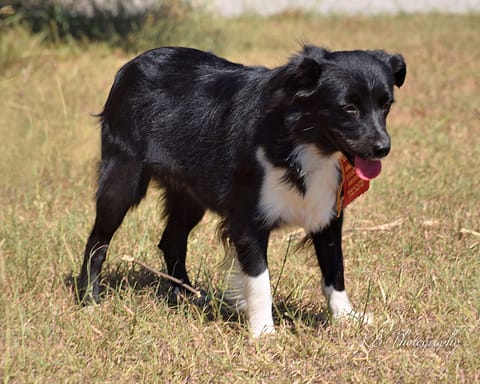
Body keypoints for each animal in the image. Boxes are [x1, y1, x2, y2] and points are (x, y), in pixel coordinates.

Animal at [78, 45, 404, 336]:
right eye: (348, 108)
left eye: (386, 105)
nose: (383, 148)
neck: (304, 140)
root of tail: (130, 65)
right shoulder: (247, 219)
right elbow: (259, 280)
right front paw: (263, 332)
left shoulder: (326, 211)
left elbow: (334, 269)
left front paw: (348, 317)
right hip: (123, 177)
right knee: (98, 239)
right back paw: (89, 297)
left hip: (189, 194)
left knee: (171, 240)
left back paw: (186, 295)